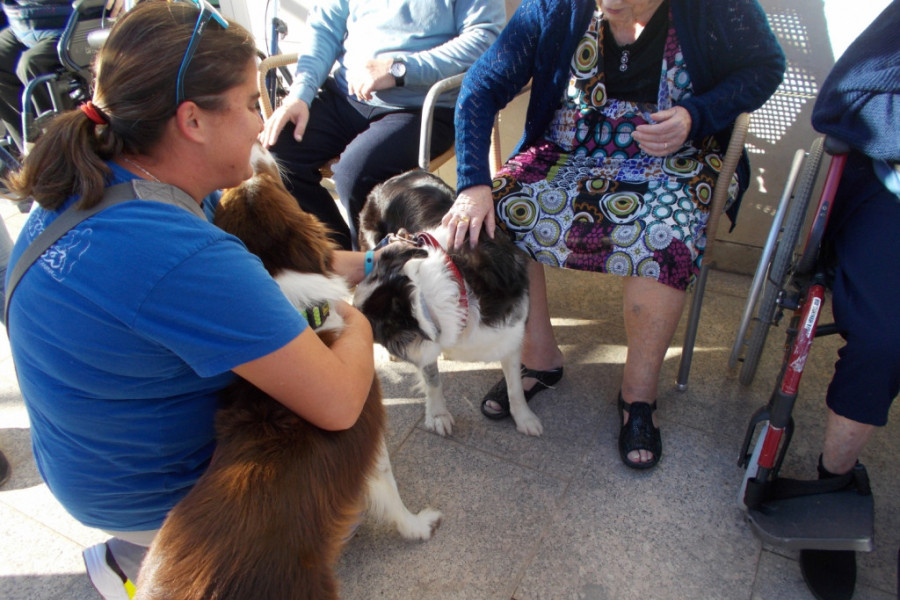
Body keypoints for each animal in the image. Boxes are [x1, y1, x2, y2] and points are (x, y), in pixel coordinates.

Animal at [134, 145, 440, 600]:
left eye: (245, 186)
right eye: (267, 180)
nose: (257, 144)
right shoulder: (364, 425)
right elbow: (390, 489)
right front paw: (417, 525)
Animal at [354, 171, 540, 438]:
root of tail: (391, 179)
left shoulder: (511, 330)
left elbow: (515, 384)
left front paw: (524, 418)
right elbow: (432, 378)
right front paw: (438, 415)